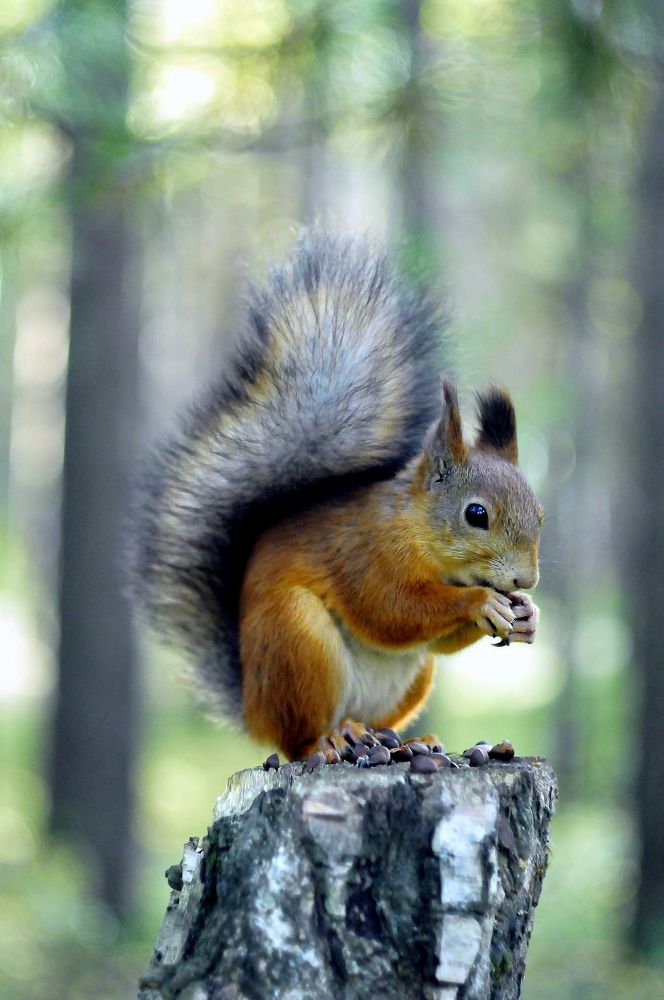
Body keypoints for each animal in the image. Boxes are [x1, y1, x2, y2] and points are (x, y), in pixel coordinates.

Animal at [133, 229, 543, 761]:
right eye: (476, 514)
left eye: (540, 513)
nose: (526, 580)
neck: (415, 529)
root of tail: (252, 709)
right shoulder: (367, 554)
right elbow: (392, 610)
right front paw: (480, 603)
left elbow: (435, 641)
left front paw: (528, 616)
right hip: (297, 641)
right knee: (297, 740)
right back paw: (328, 739)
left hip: (407, 680)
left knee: (384, 716)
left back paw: (408, 739)